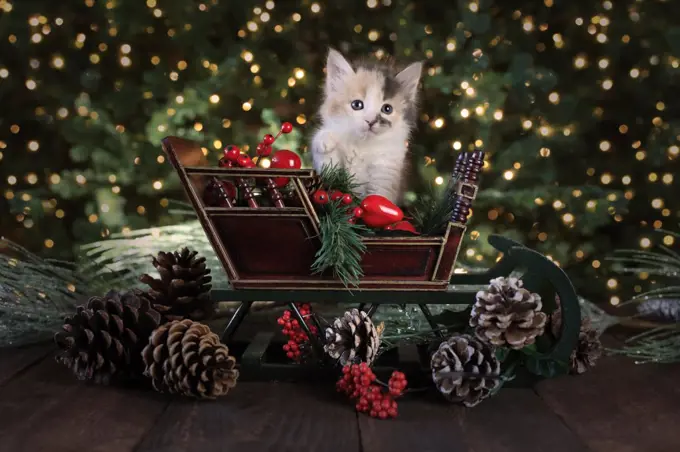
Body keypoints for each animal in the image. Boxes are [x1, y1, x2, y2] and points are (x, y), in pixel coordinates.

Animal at [310, 48, 422, 202]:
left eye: (387, 109)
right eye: (357, 105)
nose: (370, 121)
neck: (362, 146)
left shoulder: (386, 173)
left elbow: (379, 199)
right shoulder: (331, 173)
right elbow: (330, 172)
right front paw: (324, 140)